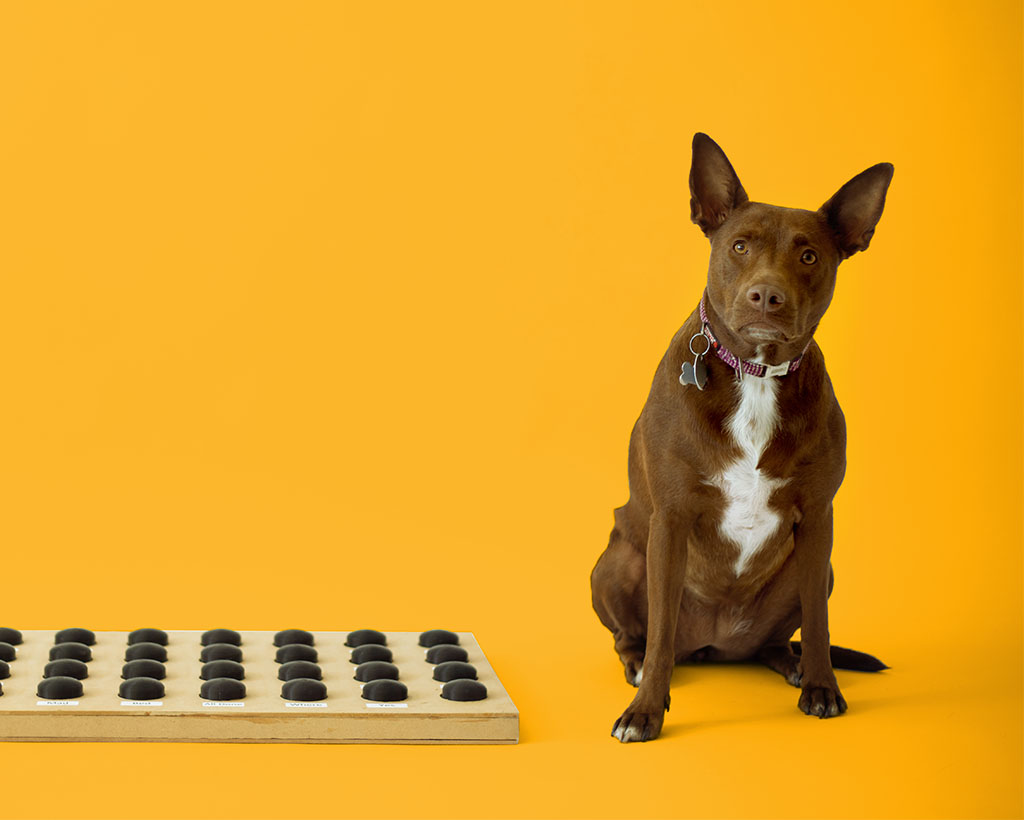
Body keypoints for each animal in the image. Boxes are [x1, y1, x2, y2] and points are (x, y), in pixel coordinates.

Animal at [589, 134, 892, 741]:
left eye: (808, 256)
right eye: (739, 246)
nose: (767, 296)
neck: (756, 374)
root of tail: (716, 645)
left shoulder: (818, 518)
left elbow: (820, 626)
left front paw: (823, 686)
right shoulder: (671, 520)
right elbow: (659, 634)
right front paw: (645, 712)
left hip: (813, 570)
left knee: (777, 640)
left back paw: (790, 663)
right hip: (618, 561)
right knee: (639, 635)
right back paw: (637, 664)